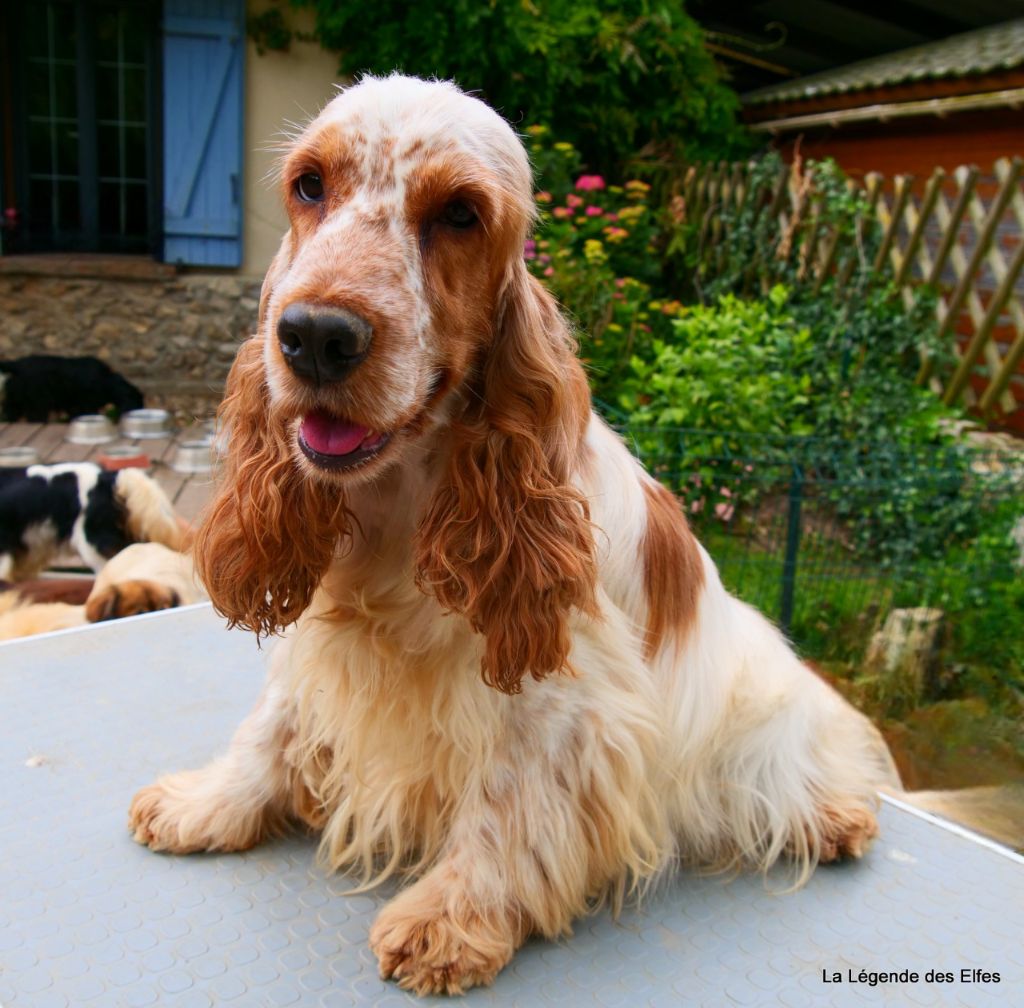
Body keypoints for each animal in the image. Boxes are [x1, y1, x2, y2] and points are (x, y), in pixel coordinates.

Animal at [0, 354, 146, 422]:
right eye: (136, 404)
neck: (105, 381)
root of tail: (17, 364)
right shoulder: (86, 405)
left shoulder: (74, 406)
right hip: (37, 402)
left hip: (15, 398)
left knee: (9, 413)